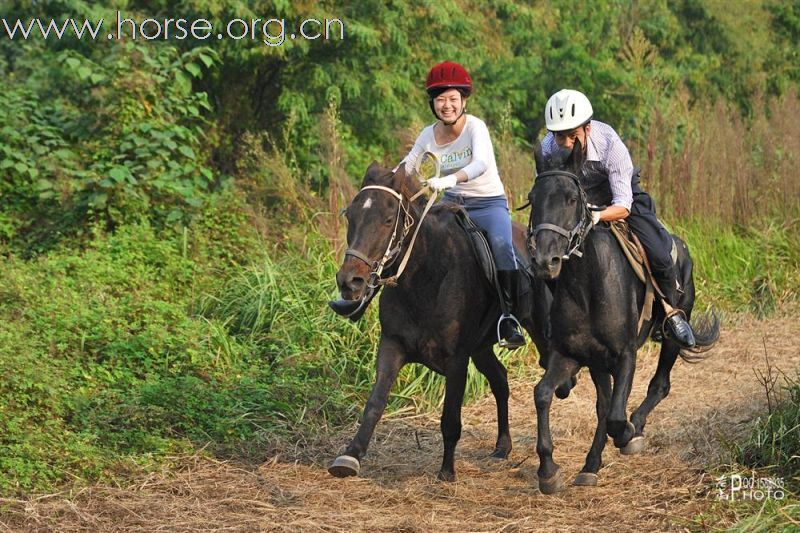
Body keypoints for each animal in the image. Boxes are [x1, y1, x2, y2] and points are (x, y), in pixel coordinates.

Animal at [328, 160, 552, 480]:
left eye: (388, 219)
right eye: (351, 215)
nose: (350, 282)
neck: (425, 275)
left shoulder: (456, 359)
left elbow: (450, 418)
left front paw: (447, 471)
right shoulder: (392, 346)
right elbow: (375, 403)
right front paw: (350, 456)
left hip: (540, 333)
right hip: (481, 348)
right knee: (500, 380)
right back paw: (502, 446)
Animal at [524, 140, 720, 490]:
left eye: (571, 198)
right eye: (533, 199)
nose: (546, 261)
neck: (587, 289)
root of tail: (682, 247)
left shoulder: (626, 354)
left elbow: (617, 416)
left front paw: (628, 433)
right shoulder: (570, 355)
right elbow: (543, 394)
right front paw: (548, 470)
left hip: (671, 336)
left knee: (658, 385)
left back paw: (635, 427)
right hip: (597, 362)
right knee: (603, 404)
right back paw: (590, 465)